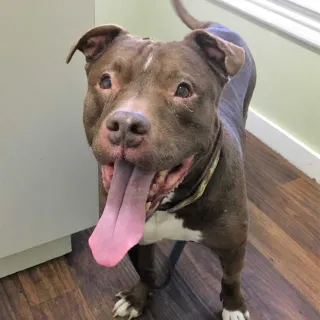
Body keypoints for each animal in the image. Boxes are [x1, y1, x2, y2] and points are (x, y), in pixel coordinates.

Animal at [66, 0, 256, 318]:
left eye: (183, 89)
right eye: (106, 81)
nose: (126, 125)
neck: (170, 205)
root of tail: (217, 25)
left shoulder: (233, 245)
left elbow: (232, 277)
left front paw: (233, 306)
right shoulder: (133, 240)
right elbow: (146, 270)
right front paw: (138, 298)